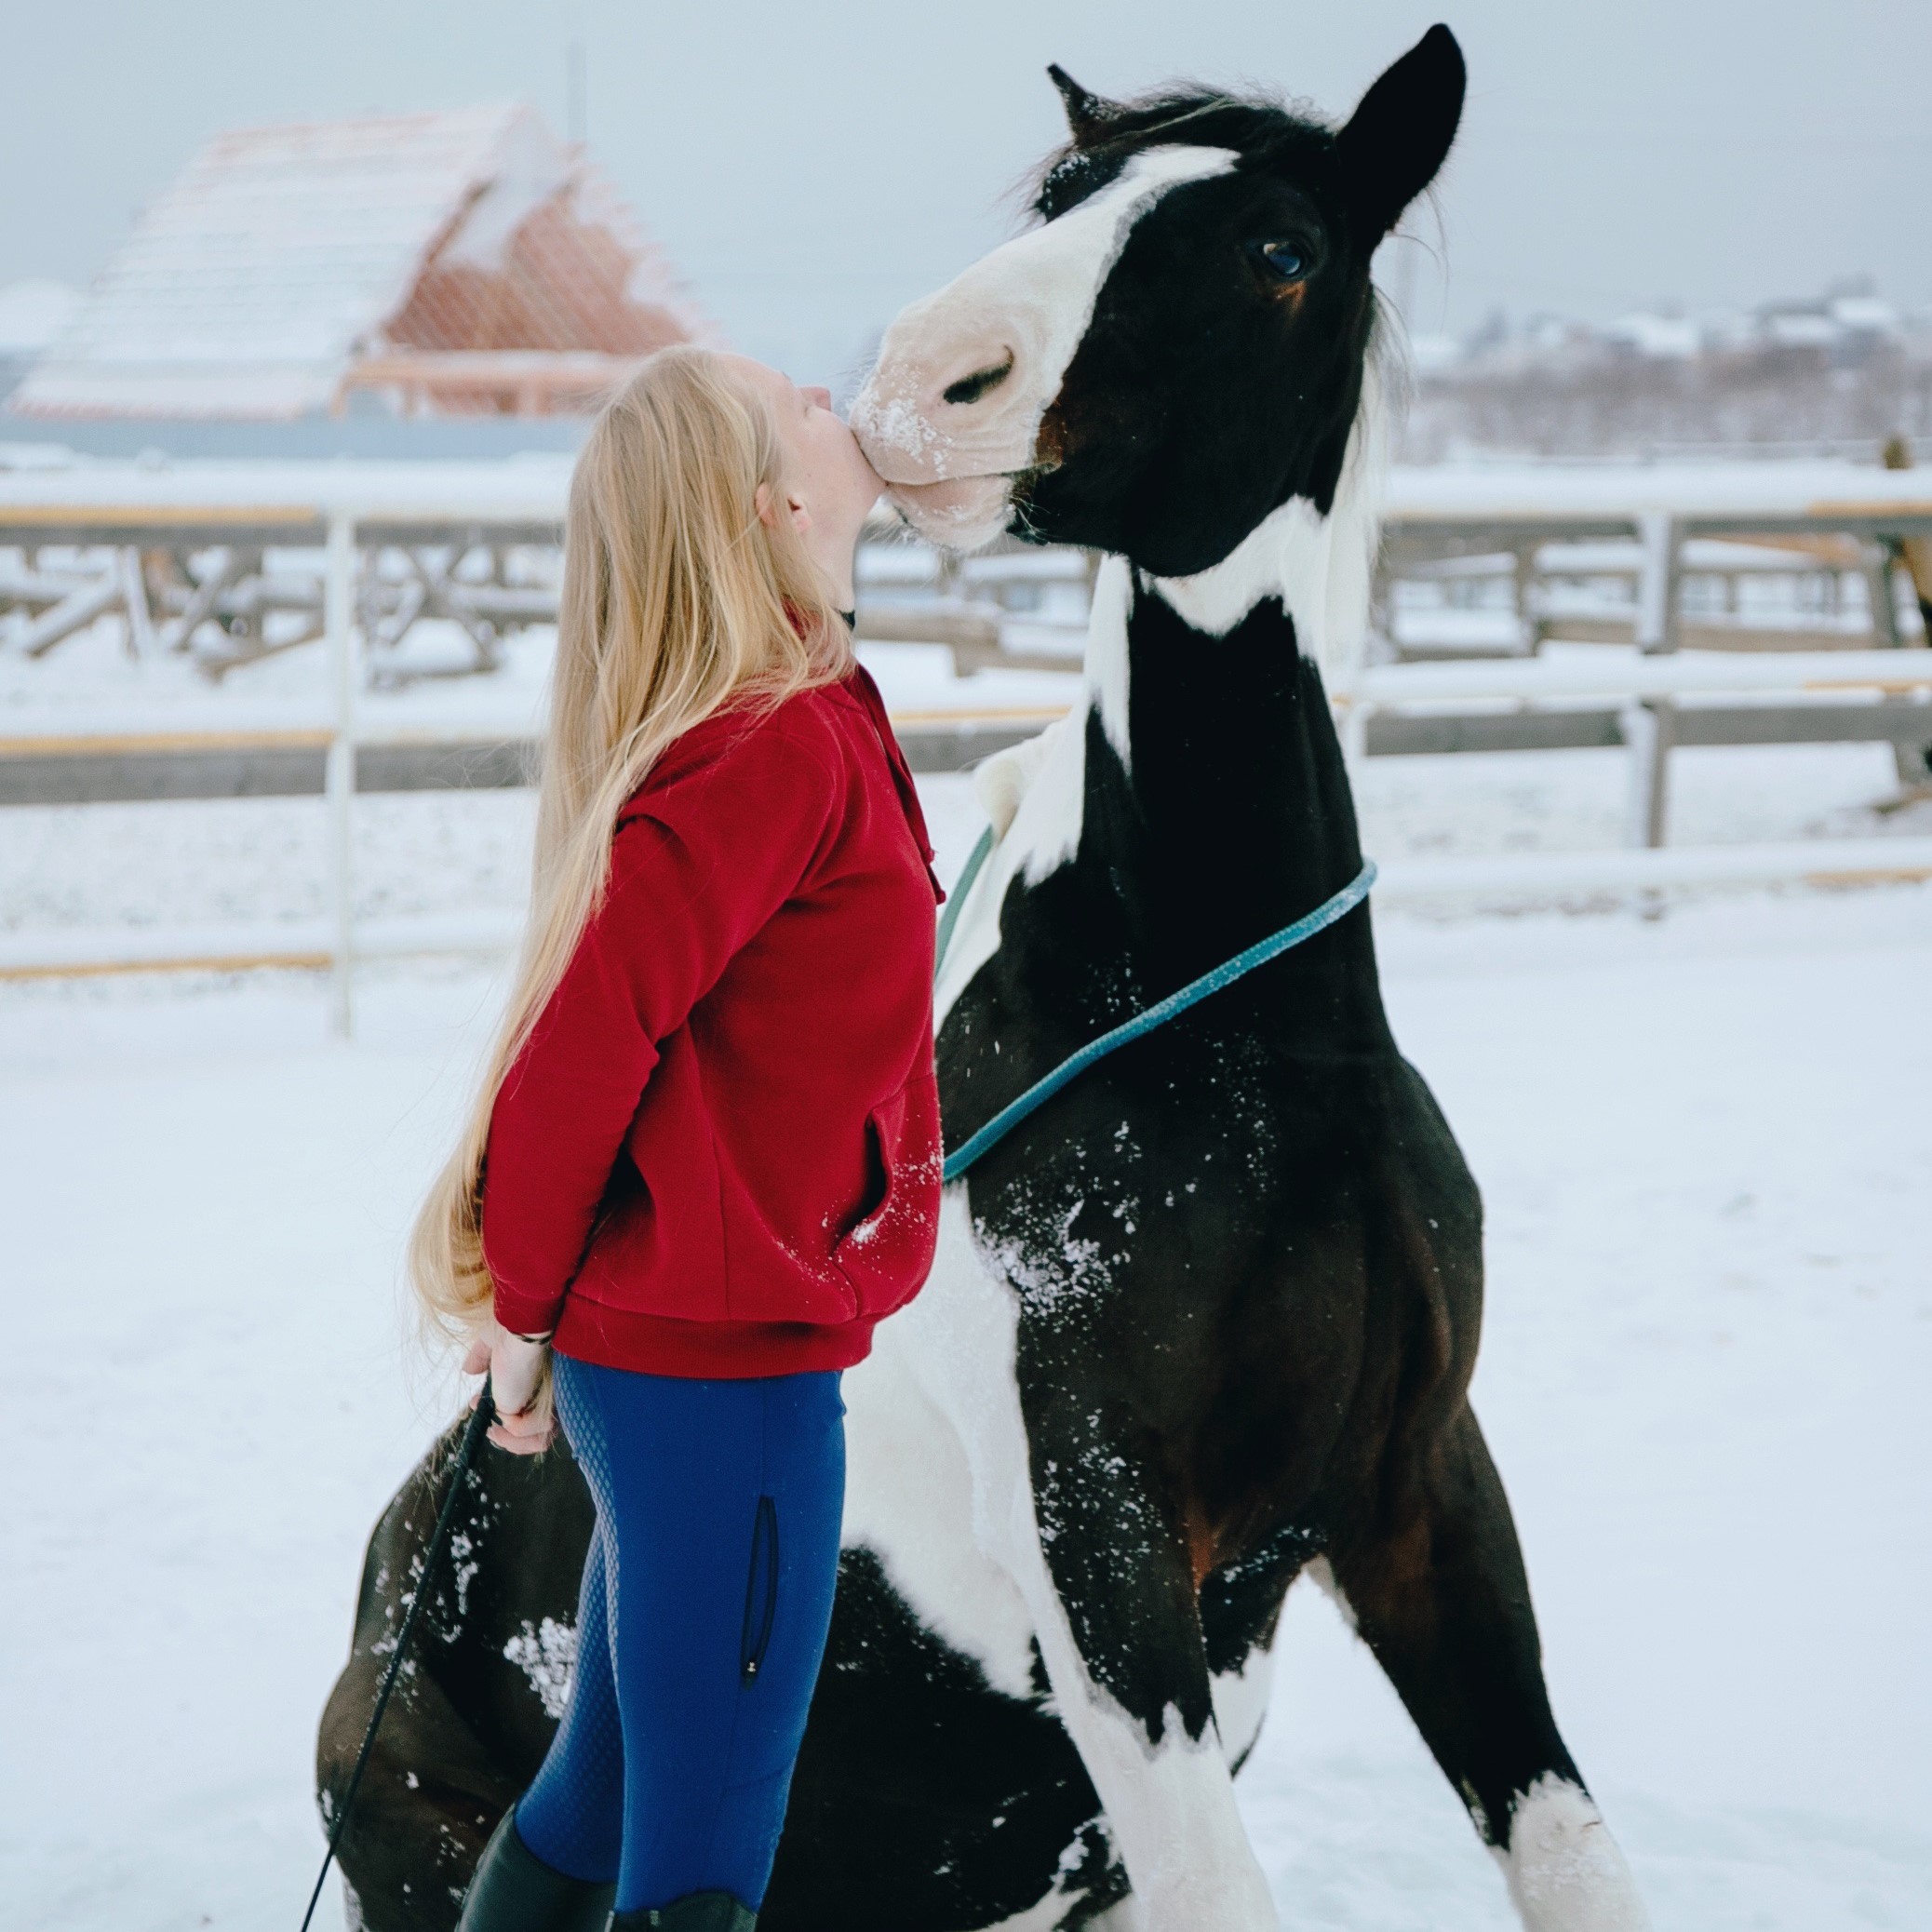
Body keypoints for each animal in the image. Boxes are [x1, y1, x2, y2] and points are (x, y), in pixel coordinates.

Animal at [316, 22, 1645, 1924]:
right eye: (1067, 197)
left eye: (1279, 249)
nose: (921, 382)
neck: (1251, 1062)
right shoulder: (1106, 1554)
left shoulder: (1425, 1496)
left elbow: (1574, 1850)